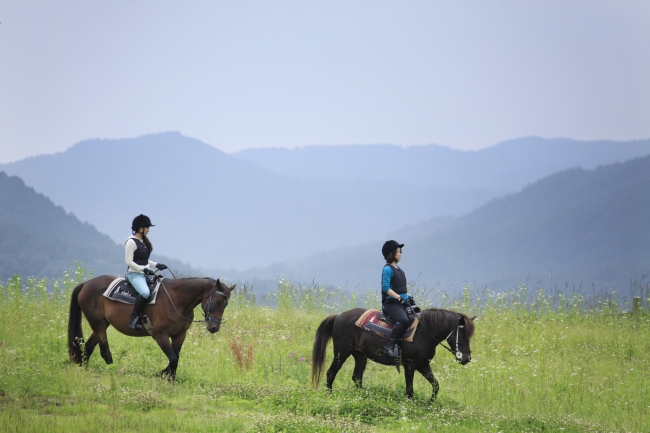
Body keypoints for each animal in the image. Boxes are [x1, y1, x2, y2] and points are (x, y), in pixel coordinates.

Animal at [66, 274, 232, 378]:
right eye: (218, 301)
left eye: (226, 304)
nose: (214, 328)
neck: (177, 300)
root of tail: (85, 284)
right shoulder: (160, 336)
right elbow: (173, 358)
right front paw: (162, 374)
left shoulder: (179, 335)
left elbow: (176, 358)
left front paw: (169, 378)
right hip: (99, 325)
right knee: (104, 353)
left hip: (101, 325)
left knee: (87, 348)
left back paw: (84, 369)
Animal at [312, 308, 474, 402]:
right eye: (463, 335)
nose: (466, 359)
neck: (423, 332)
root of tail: (338, 317)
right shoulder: (410, 365)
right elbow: (409, 391)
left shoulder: (423, 364)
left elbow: (435, 385)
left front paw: (430, 404)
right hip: (342, 352)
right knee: (331, 372)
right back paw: (330, 396)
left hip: (360, 355)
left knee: (357, 377)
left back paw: (363, 397)